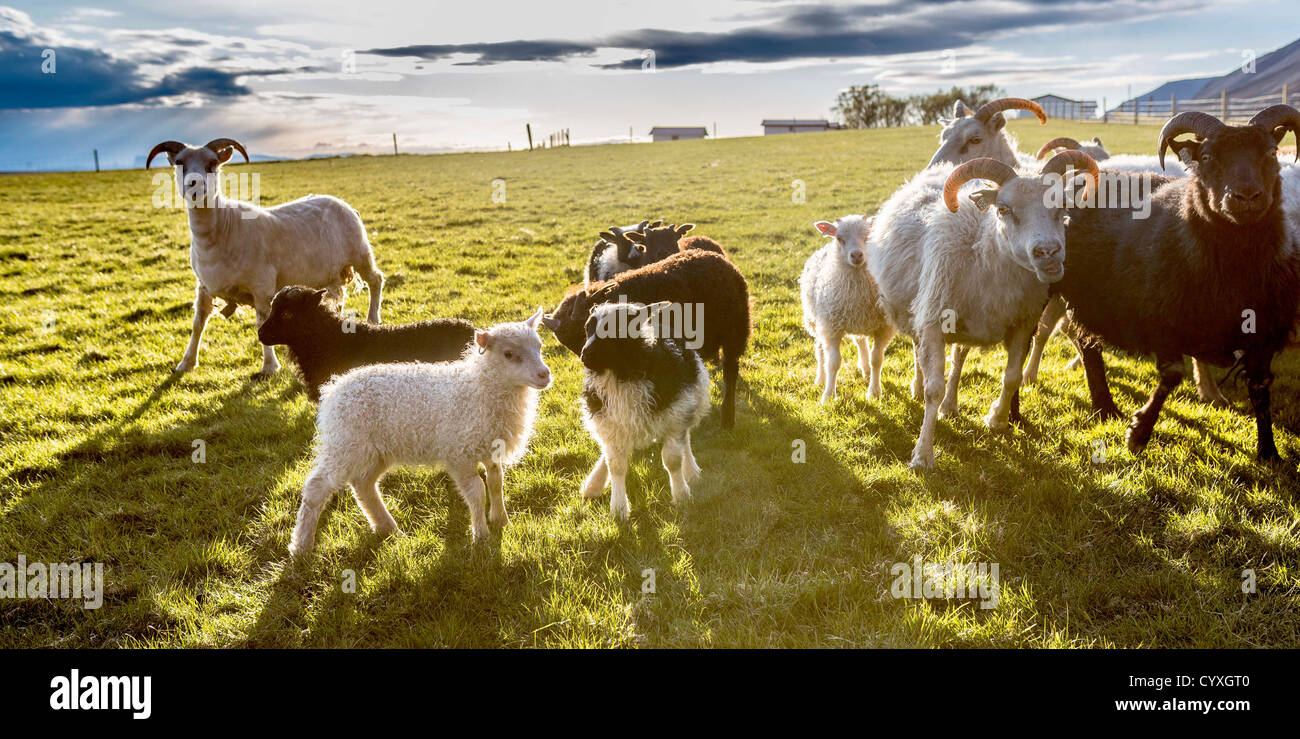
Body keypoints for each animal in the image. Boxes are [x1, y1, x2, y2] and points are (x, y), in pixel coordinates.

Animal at [147, 137, 382, 374]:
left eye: (212, 163)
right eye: (179, 163)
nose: (194, 185)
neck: (221, 229)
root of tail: (344, 204)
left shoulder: (262, 286)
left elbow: (261, 321)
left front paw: (269, 366)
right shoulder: (203, 287)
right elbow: (198, 323)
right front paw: (186, 363)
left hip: (360, 252)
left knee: (375, 280)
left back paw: (373, 319)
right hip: (328, 272)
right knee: (338, 296)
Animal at [287, 305, 551, 554]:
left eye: (539, 347)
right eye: (509, 354)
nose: (545, 374)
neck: (481, 388)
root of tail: (333, 390)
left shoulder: (491, 447)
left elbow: (496, 483)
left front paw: (501, 521)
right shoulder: (459, 454)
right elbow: (478, 491)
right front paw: (481, 536)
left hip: (376, 450)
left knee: (363, 485)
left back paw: (388, 528)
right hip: (344, 443)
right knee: (316, 487)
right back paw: (301, 546)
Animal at [800, 214, 894, 403]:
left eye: (867, 236)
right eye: (840, 238)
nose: (857, 255)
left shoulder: (883, 328)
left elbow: (877, 359)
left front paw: (874, 392)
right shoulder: (831, 327)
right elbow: (833, 362)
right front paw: (828, 396)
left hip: (860, 321)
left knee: (861, 341)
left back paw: (865, 370)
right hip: (816, 320)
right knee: (820, 349)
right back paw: (820, 378)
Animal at [873, 152, 1097, 470]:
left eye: (1062, 207)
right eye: (1003, 209)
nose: (1048, 254)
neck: (988, 254)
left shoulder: (1023, 323)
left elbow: (1012, 376)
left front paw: (997, 420)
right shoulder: (933, 320)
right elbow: (933, 389)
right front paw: (923, 455)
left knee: (958, 358)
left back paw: (951, 405)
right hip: (917, 311)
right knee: (919, 351)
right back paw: (918, 387)